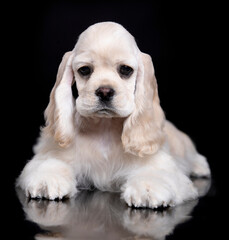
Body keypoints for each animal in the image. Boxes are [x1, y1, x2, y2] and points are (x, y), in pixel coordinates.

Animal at [16, 21, 211, 208]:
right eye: (84, 70)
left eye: (125, 69)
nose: (104, 92)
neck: (105, 127)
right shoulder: (55, 154)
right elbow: (49, 163)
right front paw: (47, 181)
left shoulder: (161, 164)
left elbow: (156, 173)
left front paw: (148, 190)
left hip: (182, 145)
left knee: (194, 155)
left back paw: (200, 167)